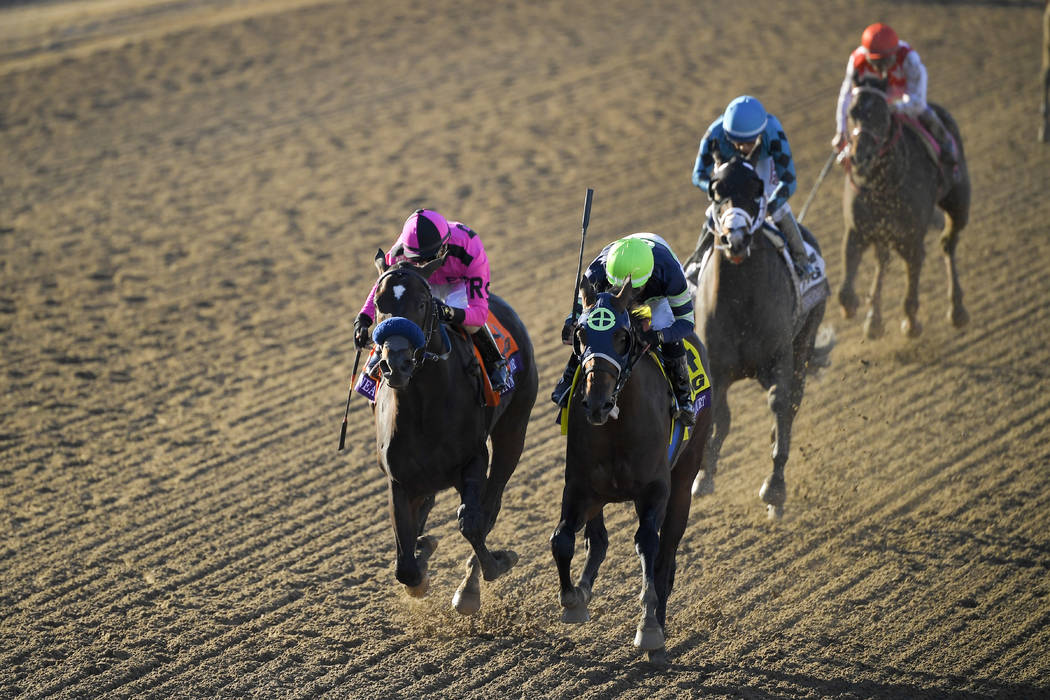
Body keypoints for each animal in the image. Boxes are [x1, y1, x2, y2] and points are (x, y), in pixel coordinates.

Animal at [367, 255, 533, 617]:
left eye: (422, 302)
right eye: (378, 303)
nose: (395, 364)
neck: (423, 408)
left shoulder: (473, 460)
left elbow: (472, 522)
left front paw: (494, 565)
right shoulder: (399, 481)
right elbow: (405, 564)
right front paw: (420, 558)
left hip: (513, 430)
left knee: (490, 504)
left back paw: (469, 583)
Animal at [550, 277, 713, 667]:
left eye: (622, 336)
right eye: (581, 333)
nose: (597, 402)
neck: (616, 428)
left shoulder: (655, 490)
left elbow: (648, 546)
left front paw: (649, 627)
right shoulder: (579, 488)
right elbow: (562, 539)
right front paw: (572, 599)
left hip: (685, 479)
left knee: (666, 560)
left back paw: (659, 635)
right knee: (598, 541)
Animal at [684, 154, 831, 520]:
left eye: (755, 190)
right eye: (716, 191)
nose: (735, 239)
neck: (741, 299)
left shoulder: (780, 359)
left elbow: (780, 403)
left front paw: (775, 489)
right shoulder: (716, 365)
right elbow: (721, 418)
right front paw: (704, 475)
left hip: (803, 346)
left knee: (791, 404)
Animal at [839, 76, 970, 340]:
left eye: (880, 113)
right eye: (851, 112)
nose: (860, 156)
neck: (882, 183)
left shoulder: (911, 239)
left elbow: (911, 287)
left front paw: (911, 323)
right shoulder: (857, 230)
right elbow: (845, 289)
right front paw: (852, 307)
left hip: (959, 202)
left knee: (947, 243)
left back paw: (957, 310)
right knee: (883, 260)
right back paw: (873, 320)